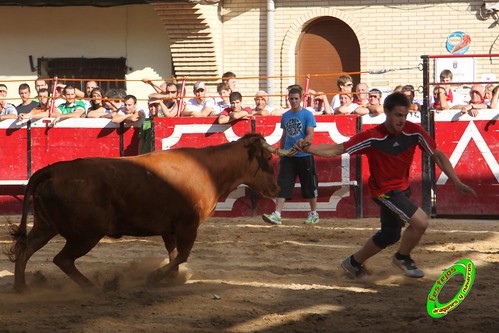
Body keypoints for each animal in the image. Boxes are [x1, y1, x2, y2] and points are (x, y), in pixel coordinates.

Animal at [6, 132, 290, 290]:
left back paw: (22, 287)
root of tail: (54, 169)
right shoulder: (188, 226)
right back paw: (95, 287)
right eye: (267, 159)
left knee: (26, 249)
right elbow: (182, 255)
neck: (208, 170)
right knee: (62, 259)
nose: (277, 188)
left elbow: (174, 254)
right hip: (87, 234)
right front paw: (153, 278)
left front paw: (171, 279)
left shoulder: (170, 229)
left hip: (46, 226)